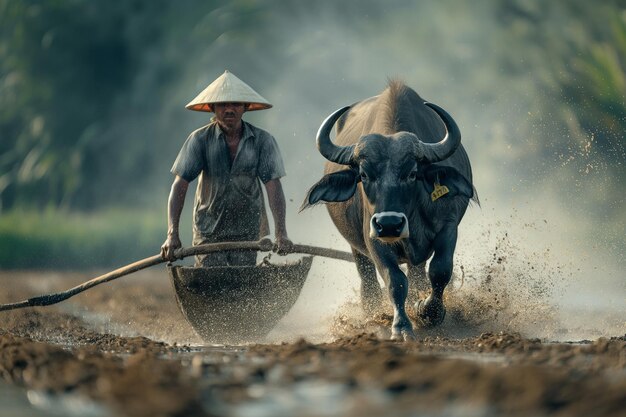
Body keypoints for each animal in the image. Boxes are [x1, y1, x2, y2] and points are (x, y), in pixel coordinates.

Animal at [300, 79, 476, 340]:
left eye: (412, 173)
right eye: (363, 174)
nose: (390, 224)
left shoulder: (448, 227)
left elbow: (440, 270)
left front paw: (428, 311)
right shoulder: (373, 239)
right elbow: (395, 281)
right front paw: (401, 327)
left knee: (419, 275)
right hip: (356, 248)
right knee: (369, 283)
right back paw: (371, 315)